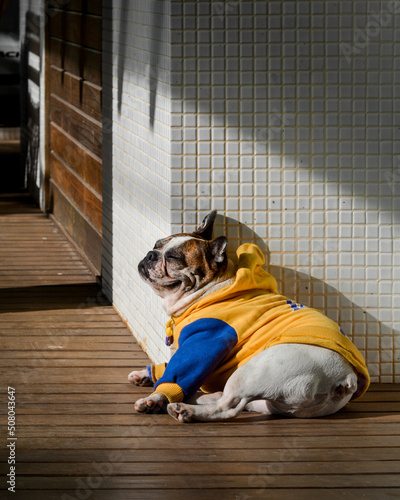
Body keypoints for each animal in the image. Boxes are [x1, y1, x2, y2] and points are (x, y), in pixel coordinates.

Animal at [128, 211, 368, 422]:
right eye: (156, 245)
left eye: (173, 258)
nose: (150, 254)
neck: (211, 289)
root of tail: (346, 378)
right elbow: (170, 363)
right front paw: (146, 374)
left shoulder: (206, 339)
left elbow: (181, 368)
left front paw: (155, 398)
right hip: (272, 402)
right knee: (235, 401)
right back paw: (202, 398)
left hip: (254, 371)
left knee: (227, 407)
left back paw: (186, 410)